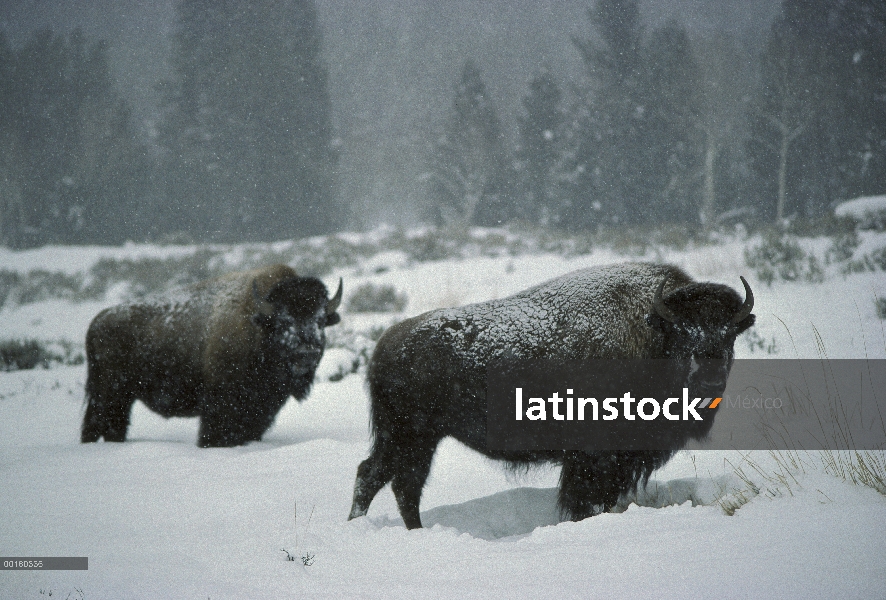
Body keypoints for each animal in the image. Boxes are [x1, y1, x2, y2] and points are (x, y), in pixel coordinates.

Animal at [81, 264, 344, 448]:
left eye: (320, 320)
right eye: (284, 321)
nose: (307, 353)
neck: (258, 327)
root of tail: (98, 320)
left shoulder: (262, 410)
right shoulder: (220, 405)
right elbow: (214, 433)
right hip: (111, 393)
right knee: (100, 423)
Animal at [346, 262, 756, 528]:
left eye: (729, 334)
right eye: (684, 331)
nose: (710, 381)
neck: (652, 335)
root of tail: (384, 344)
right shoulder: (592, 459)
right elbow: (583, 499)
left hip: (417, 440)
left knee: (394, 481)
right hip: (408, 436)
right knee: (381, 478)